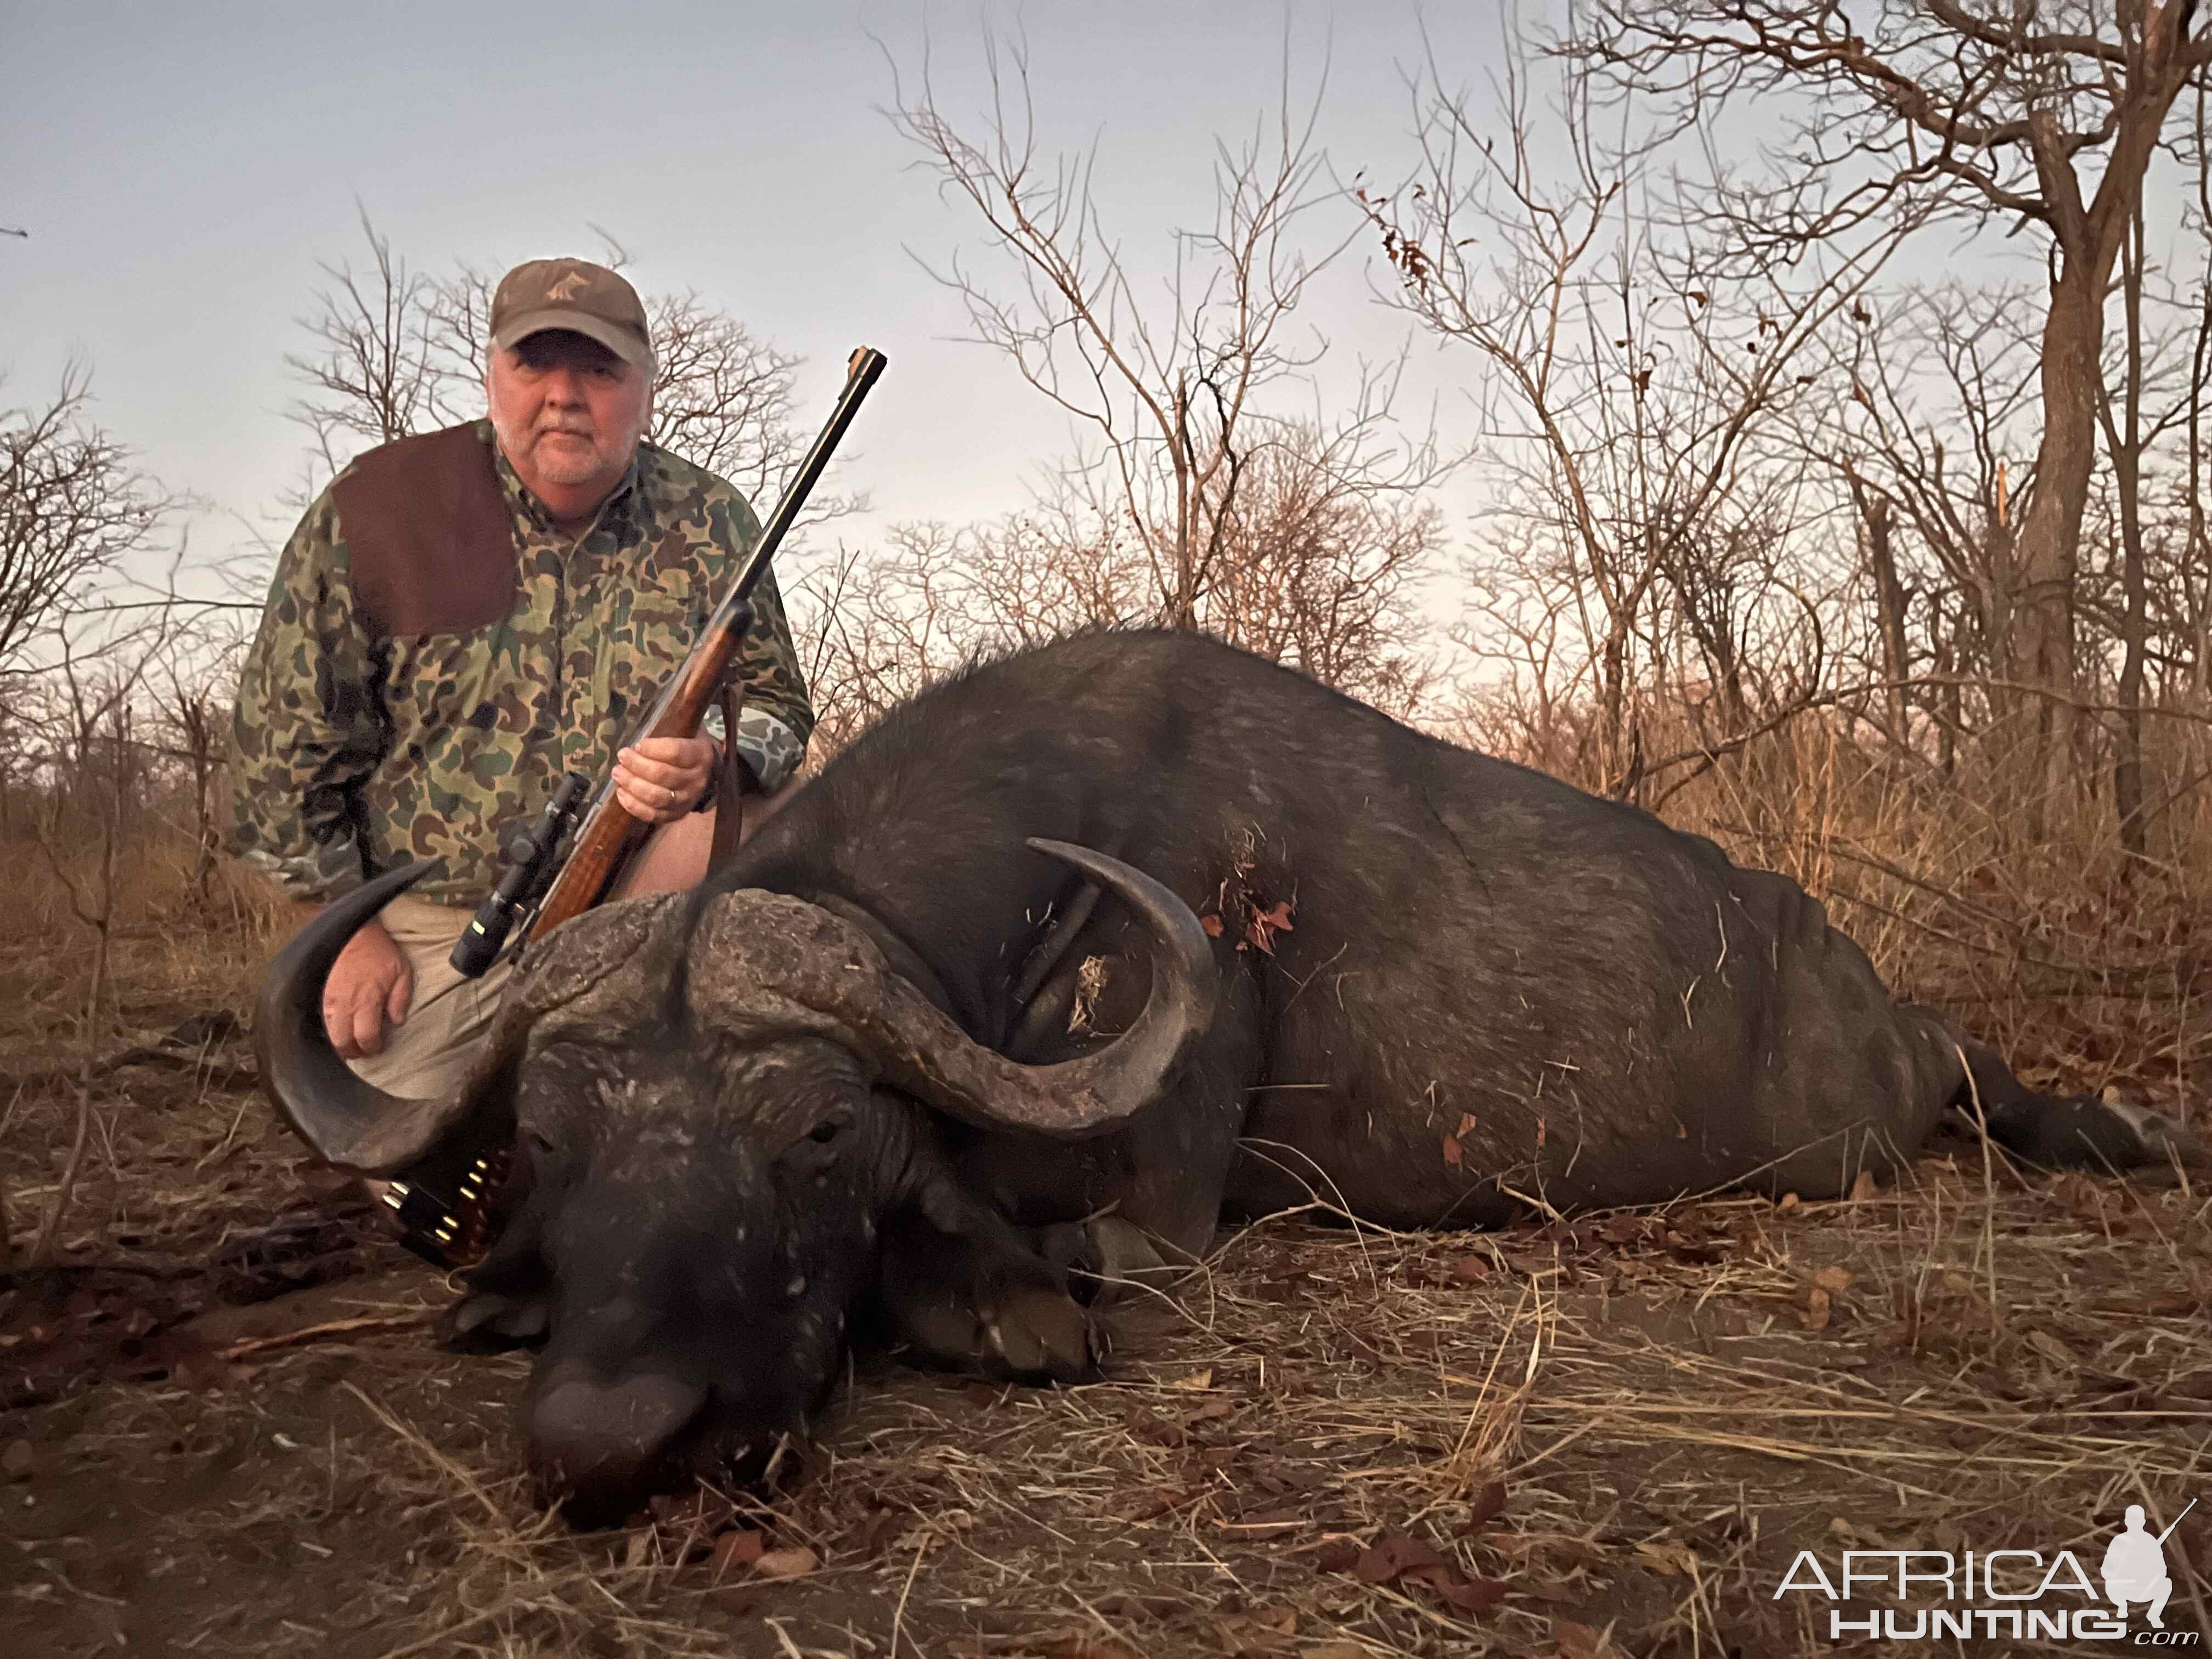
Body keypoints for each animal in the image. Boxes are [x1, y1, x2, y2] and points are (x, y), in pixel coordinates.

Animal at [254, 633, 2194, 1522]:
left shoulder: (1156, 1218)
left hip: (1854, 1138)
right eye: (555, 1140)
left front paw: (991, 1311)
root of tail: (1873, 990)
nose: (608, 1442)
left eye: (817, 1131)